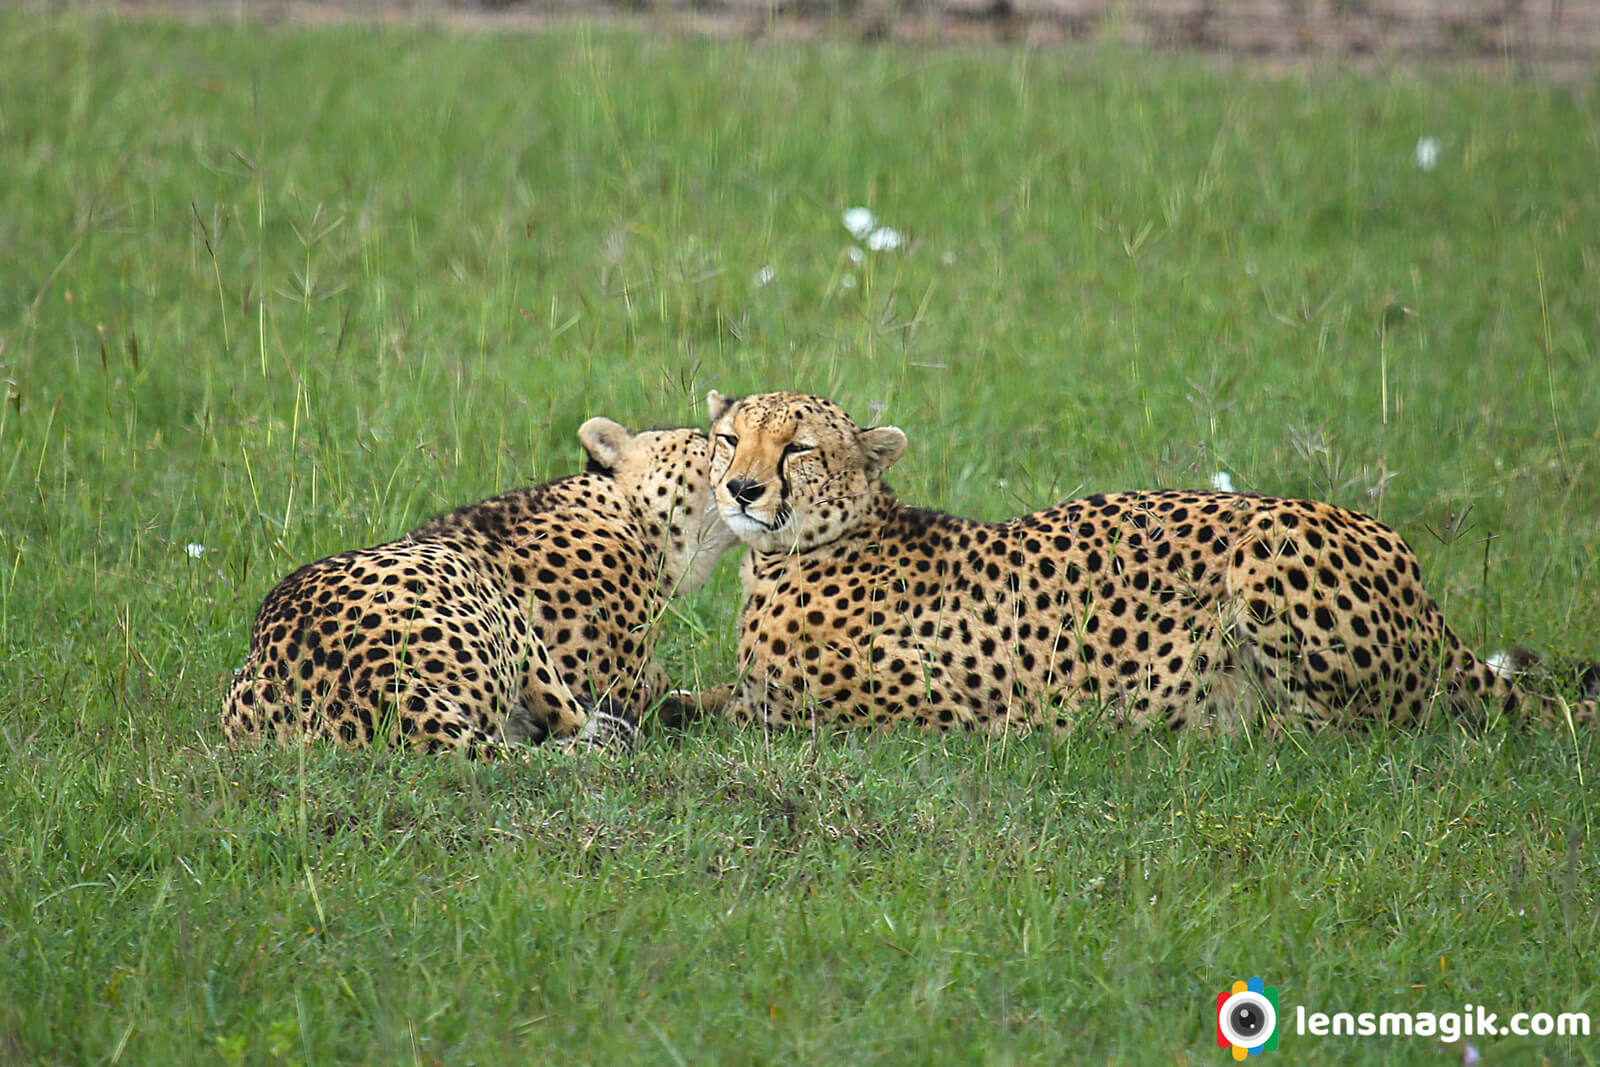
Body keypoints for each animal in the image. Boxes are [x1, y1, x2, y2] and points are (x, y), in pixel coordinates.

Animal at [222, 419, 739, 758]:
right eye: (707, 440)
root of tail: (379, 687)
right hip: (475, 587)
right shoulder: (613, 680)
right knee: (575, 731)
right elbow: (670, 693)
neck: (627, 511)